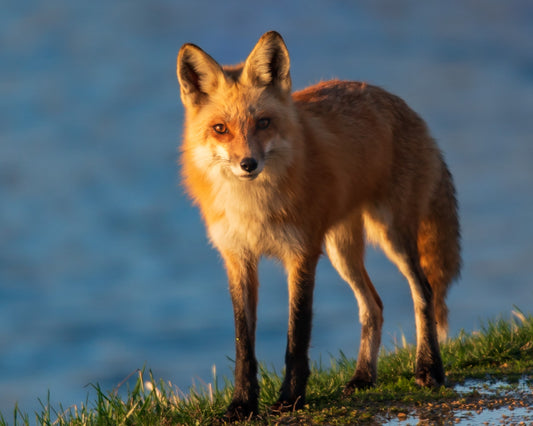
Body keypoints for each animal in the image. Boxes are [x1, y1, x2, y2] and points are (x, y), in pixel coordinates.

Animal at [177, 31, 460, 422]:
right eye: (220, 129)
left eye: (263, 123)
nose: (248, 164)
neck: (253, 206)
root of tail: (402, 105)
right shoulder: (238, 257)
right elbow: (243, 345)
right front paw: (242, 405)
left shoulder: (302, 252)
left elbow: (297, 335)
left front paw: (291, 399)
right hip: (342, 252)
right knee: (374, 306)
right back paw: (363, 377)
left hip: (392, 237)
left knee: (424, 292)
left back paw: (429, 369)